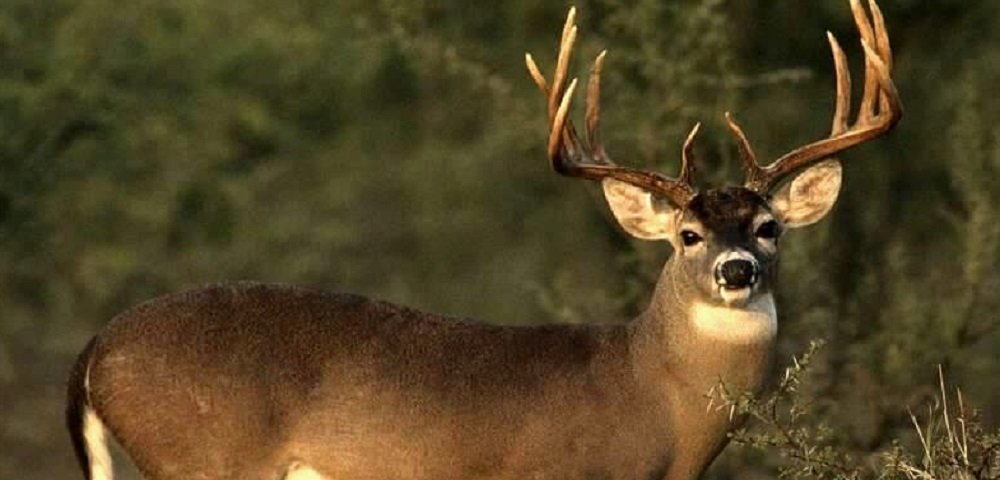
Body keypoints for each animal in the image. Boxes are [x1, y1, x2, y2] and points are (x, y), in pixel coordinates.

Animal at [65, 1, 900, 479]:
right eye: (687, 234)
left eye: (767, 227)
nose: (736, 271)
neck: (651, 397)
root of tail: (94, 353)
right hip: (203, 458)